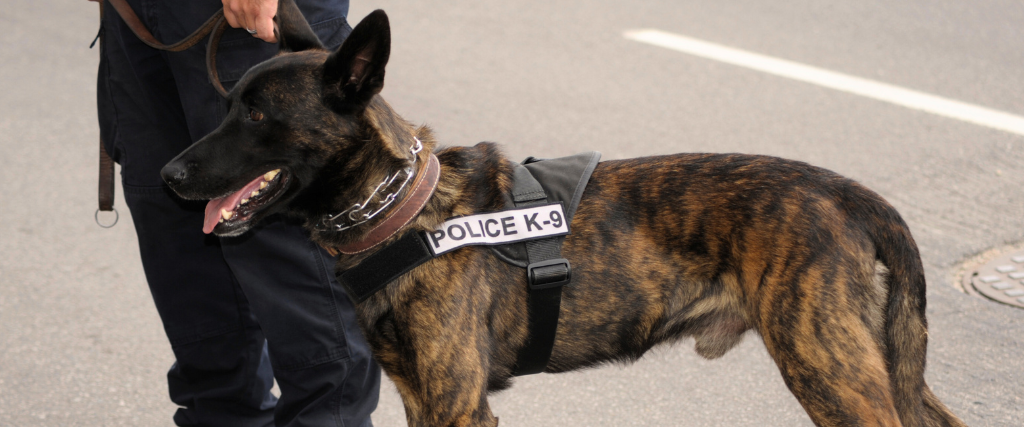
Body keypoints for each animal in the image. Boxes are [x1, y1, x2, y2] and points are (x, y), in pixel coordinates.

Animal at [161, 2, 966, 421]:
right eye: (228, 105)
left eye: (257, 115)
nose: (169, 173)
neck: (405, 209)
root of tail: (844, 189)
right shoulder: (420, 398)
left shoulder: (457, 403)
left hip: (829, 371)